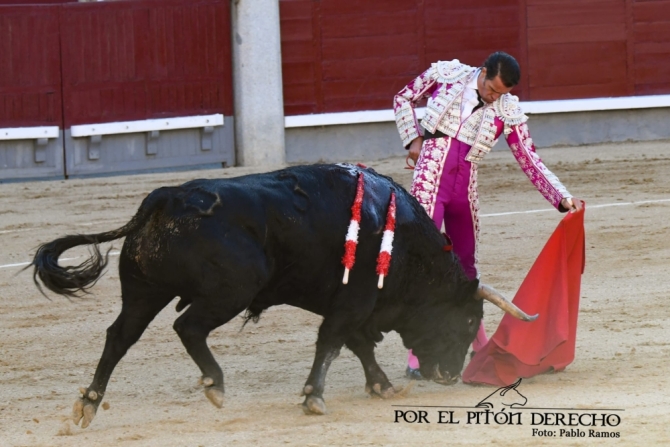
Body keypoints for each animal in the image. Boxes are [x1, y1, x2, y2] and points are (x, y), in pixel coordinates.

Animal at [30, 163, 536, 428]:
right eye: (468, 321)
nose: (450, 375)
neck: (403, 241)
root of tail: (167, 196)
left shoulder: (349, 305)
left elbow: (355, 344)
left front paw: (381, 385)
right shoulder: (353, 301)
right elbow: (333, 342)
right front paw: (314, 397)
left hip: (143, 292)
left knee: (119, 337)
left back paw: (89, 402)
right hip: (232, 289)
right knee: (187, 326)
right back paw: (216, 384)